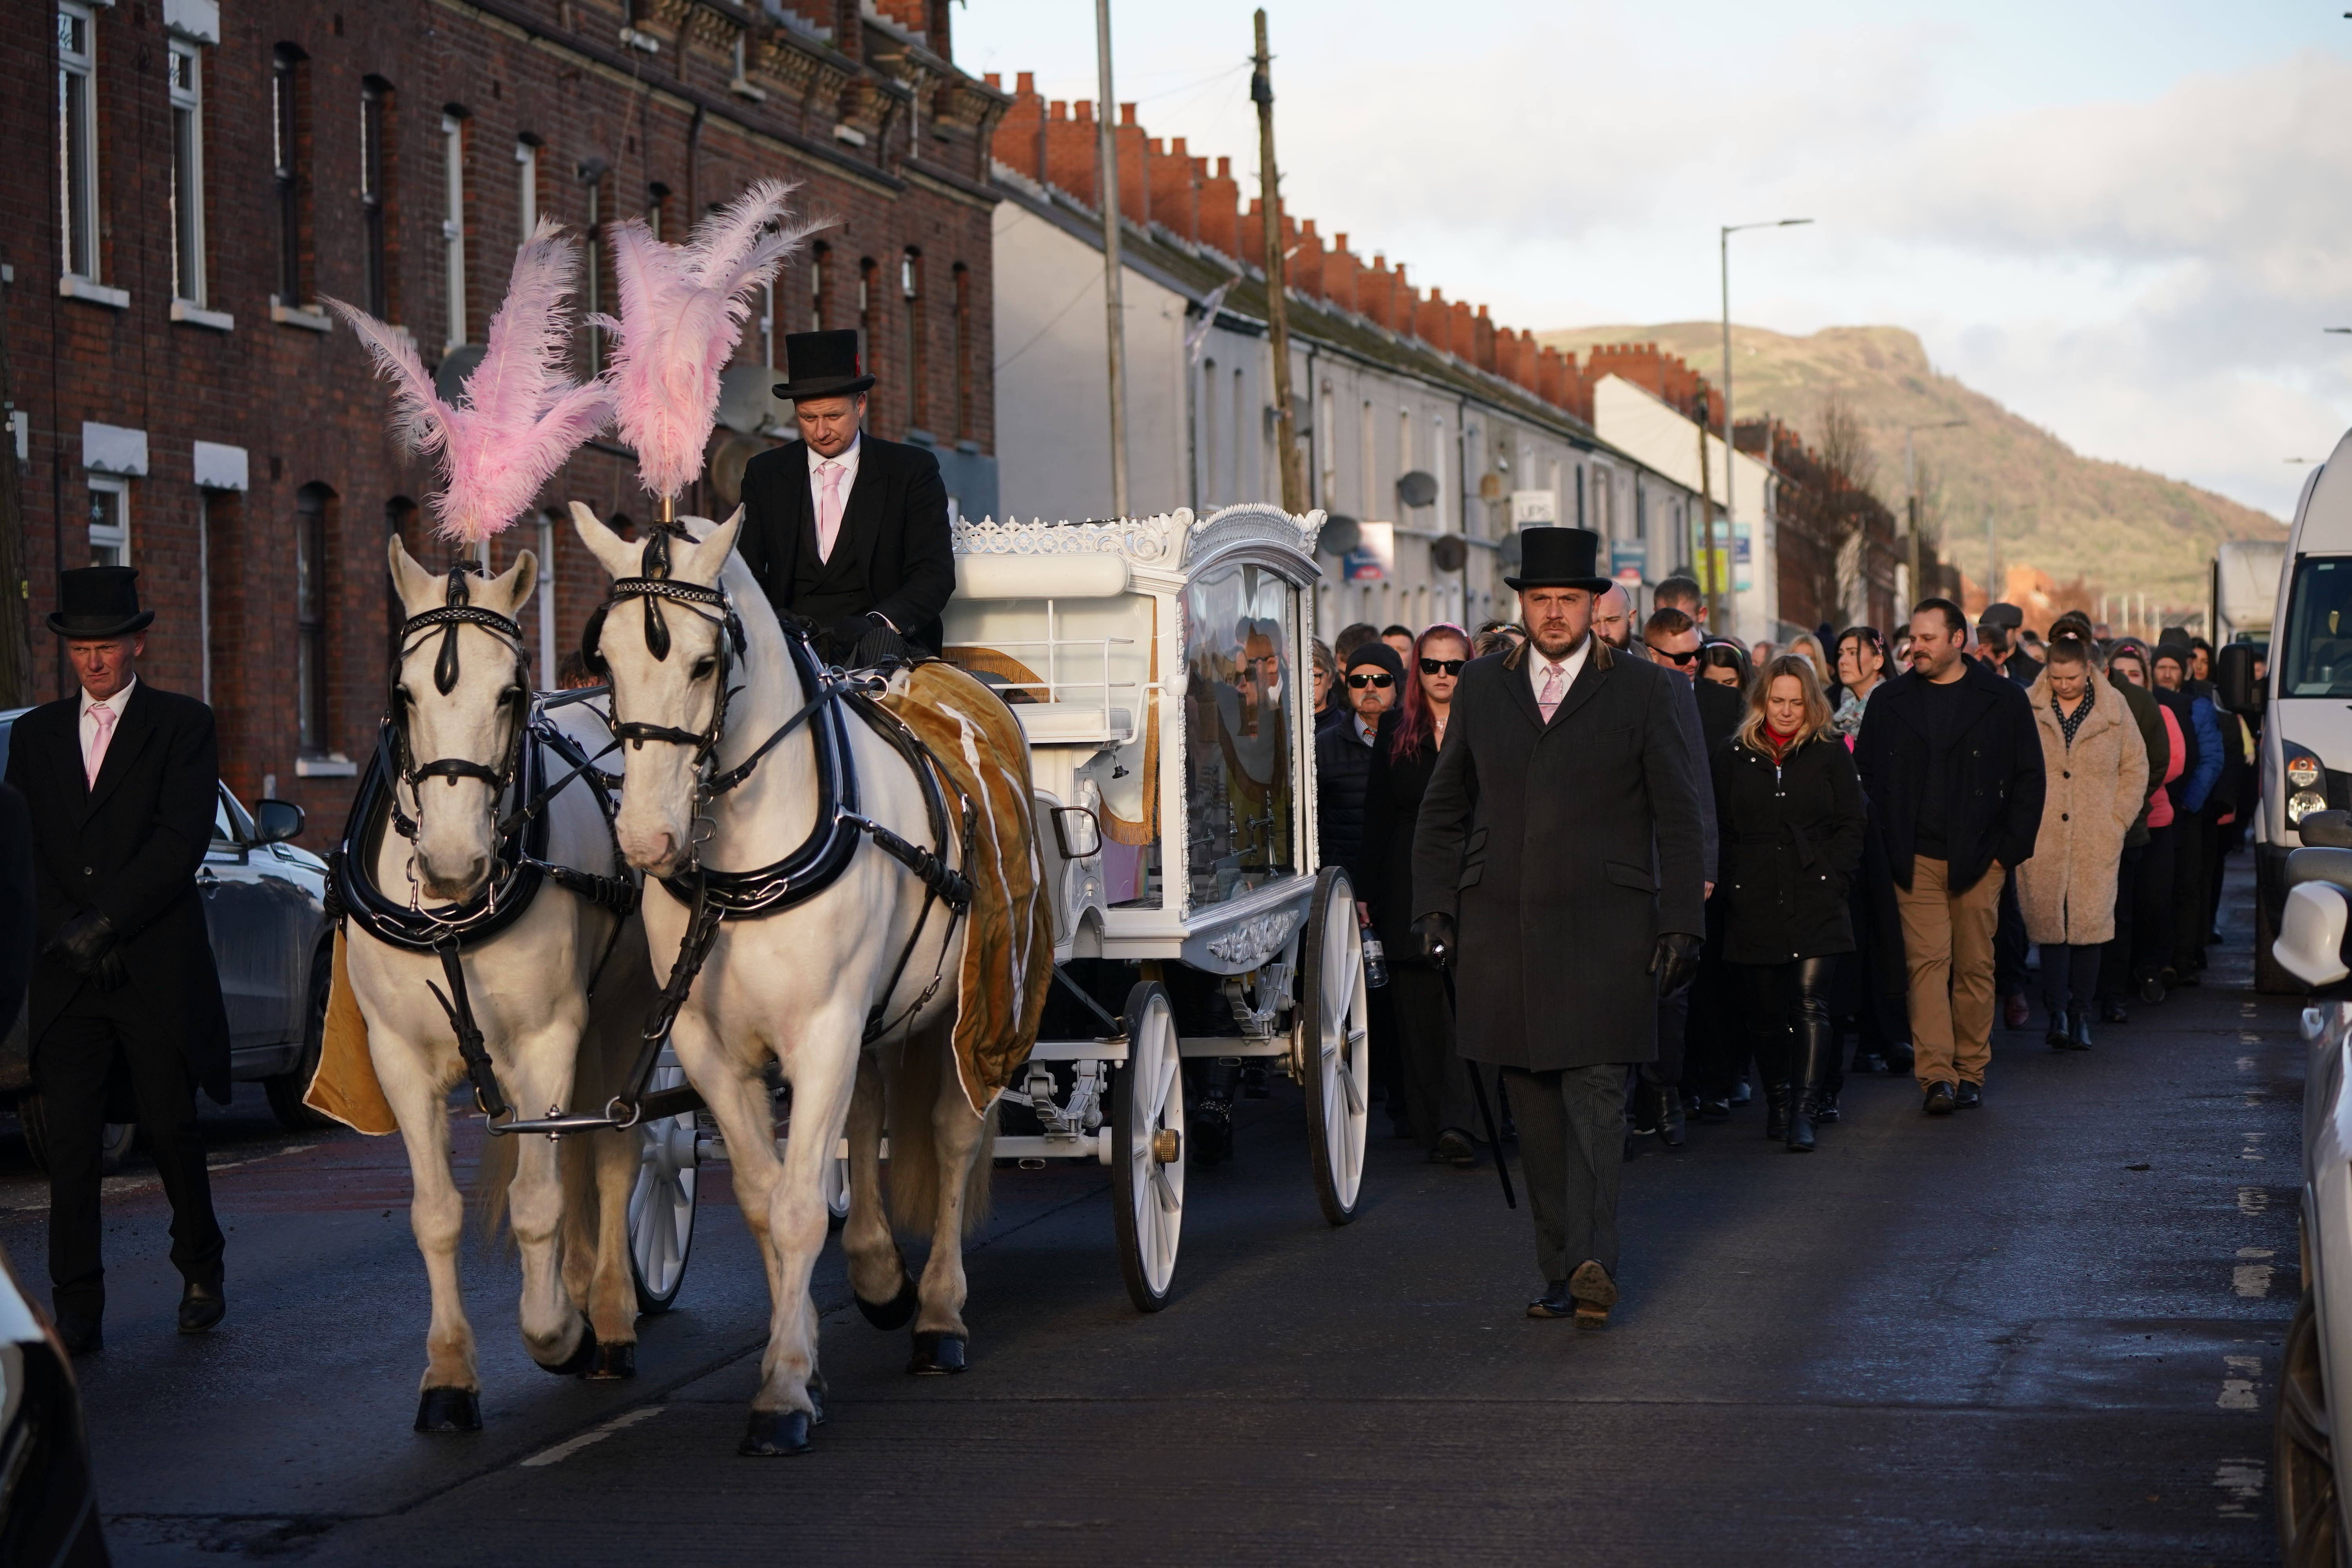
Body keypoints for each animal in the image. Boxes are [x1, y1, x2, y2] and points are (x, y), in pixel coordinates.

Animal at [343, 543, 654, 1439]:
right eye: (403, 694)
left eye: (510, 693)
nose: (453, 863)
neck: (451, 916)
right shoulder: (398, 1058)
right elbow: (435, 1213)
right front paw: (449, 1376)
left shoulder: (547, 1038)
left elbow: (539, 1198)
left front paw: (557, 1332)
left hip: (624, 1015)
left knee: (615, 1156)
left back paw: (608, 1319)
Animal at [581, 503, 1002, 1457]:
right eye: (607, 660)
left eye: (705, 662)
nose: (649, 841)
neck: (743, 860)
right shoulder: (713, 1048)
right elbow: (767, 1201)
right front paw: (799, 1356)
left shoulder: (825, 1029)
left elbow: (806, 1204)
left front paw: (780, 1393)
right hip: (879, 1017)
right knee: (871, 1117)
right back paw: (882, 1275)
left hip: (971, 1008)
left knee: (953, 1137)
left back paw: (939, 1315)